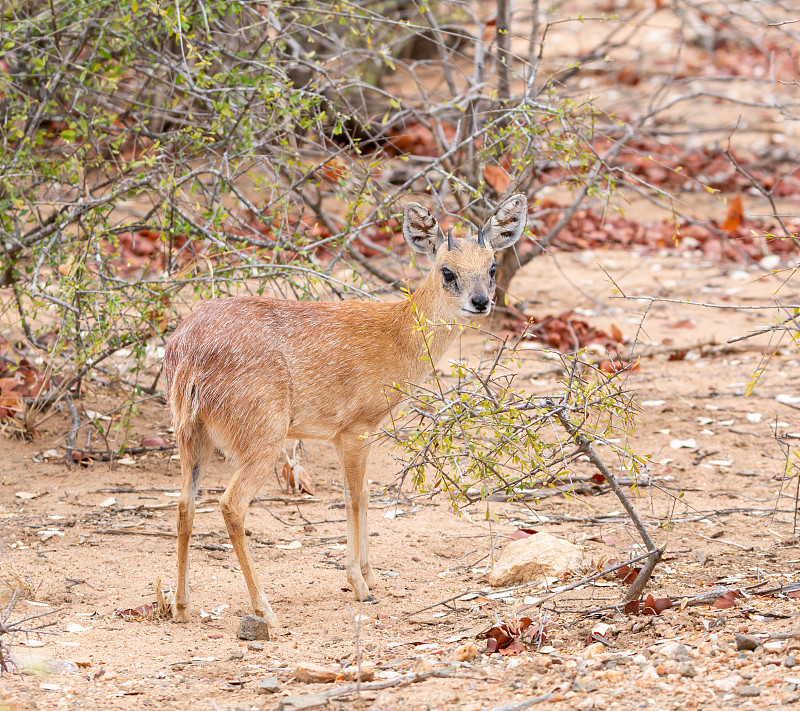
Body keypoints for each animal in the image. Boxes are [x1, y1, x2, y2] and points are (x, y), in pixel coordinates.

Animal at [165, 193, 528, 628]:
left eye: (492, 267)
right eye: (447, 271)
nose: (481, 302)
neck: (396, 335)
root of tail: (189, 351)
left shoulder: (344, 436)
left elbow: (365, 494)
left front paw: (370, 576)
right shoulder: (356, 429)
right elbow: (355, 497)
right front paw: (360, 585)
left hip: (191, 437)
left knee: (184, 505)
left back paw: (180, 606)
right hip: (261, 440)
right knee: (230, 505)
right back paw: (265, 611)